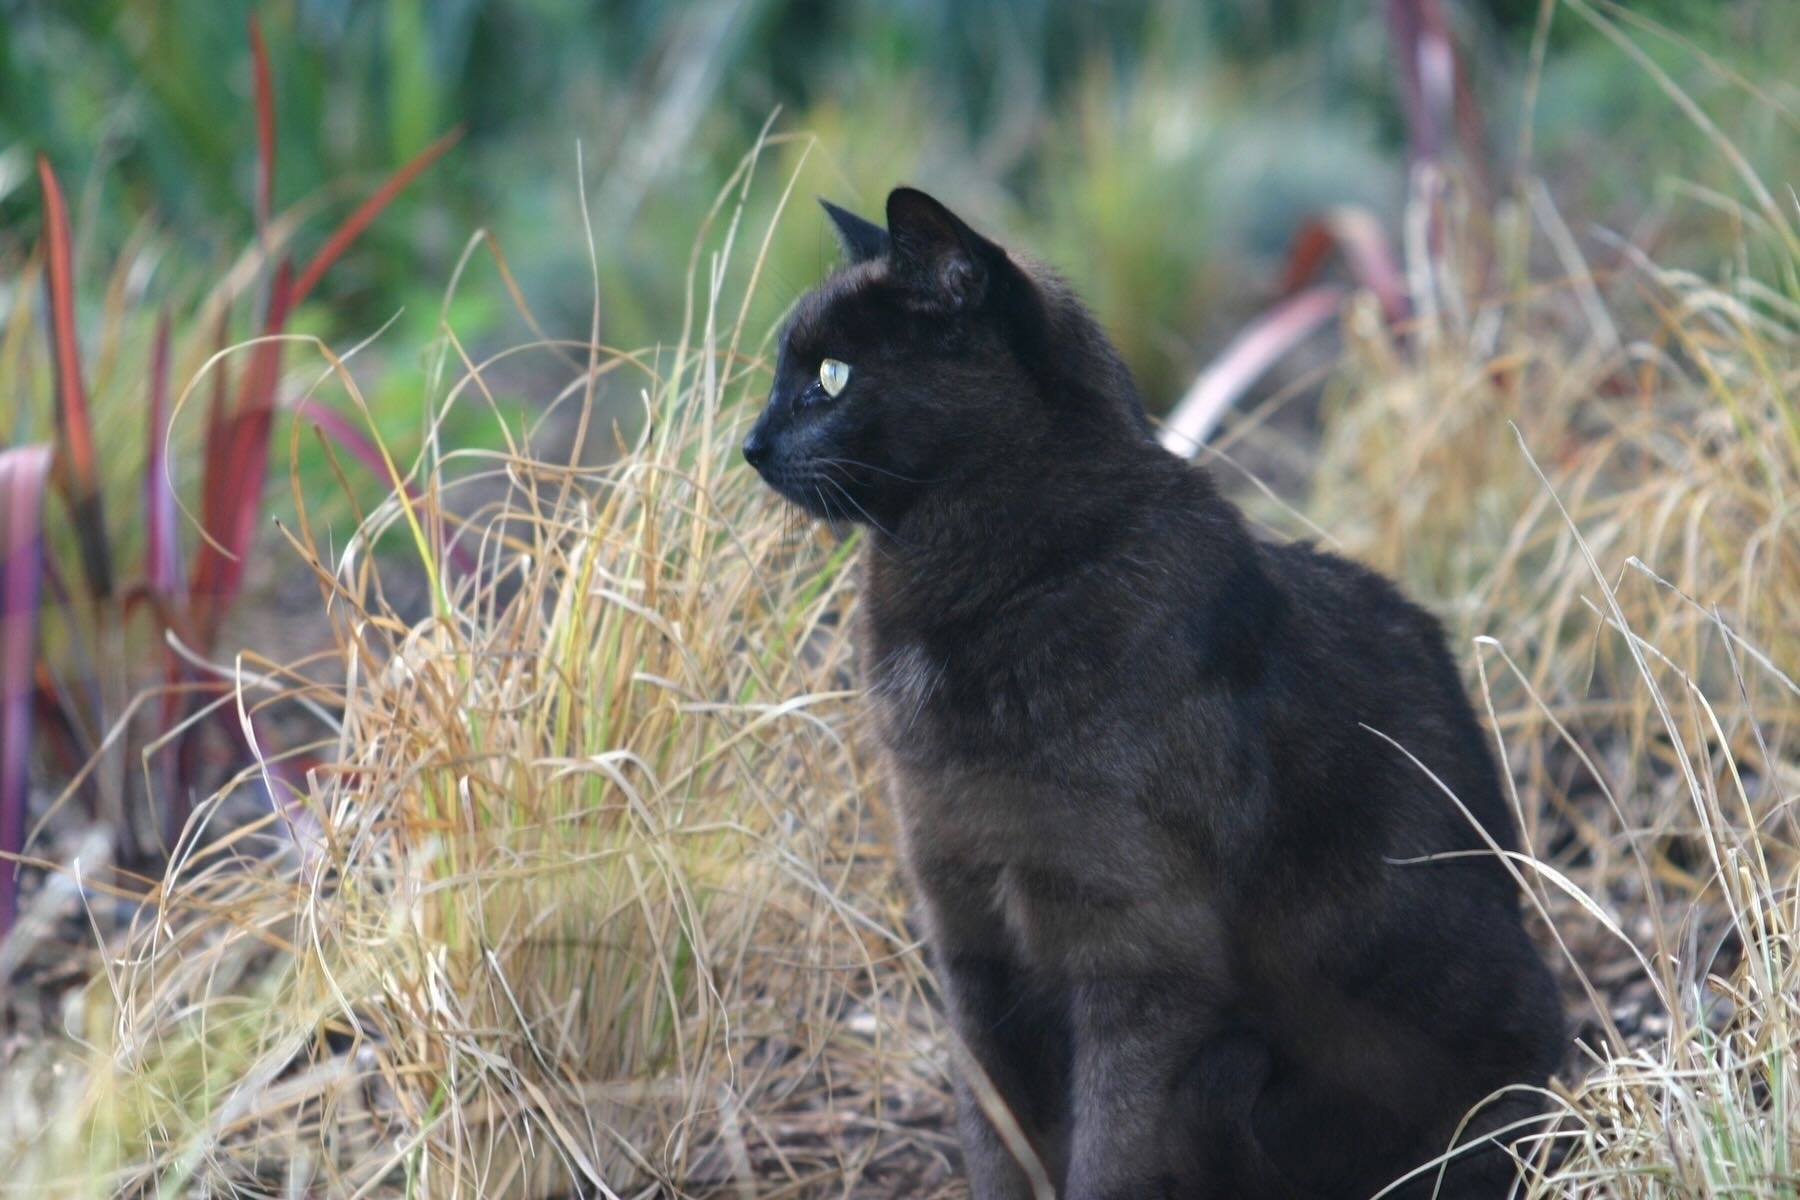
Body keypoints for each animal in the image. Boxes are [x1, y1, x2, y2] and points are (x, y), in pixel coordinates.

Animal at [741, 189, 1562, 1200]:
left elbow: (1110, 1153)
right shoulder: (967, 937)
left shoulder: (1140, 960)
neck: (1007, 587)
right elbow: (995, 1134)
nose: (750, 444)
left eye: (831, 376)